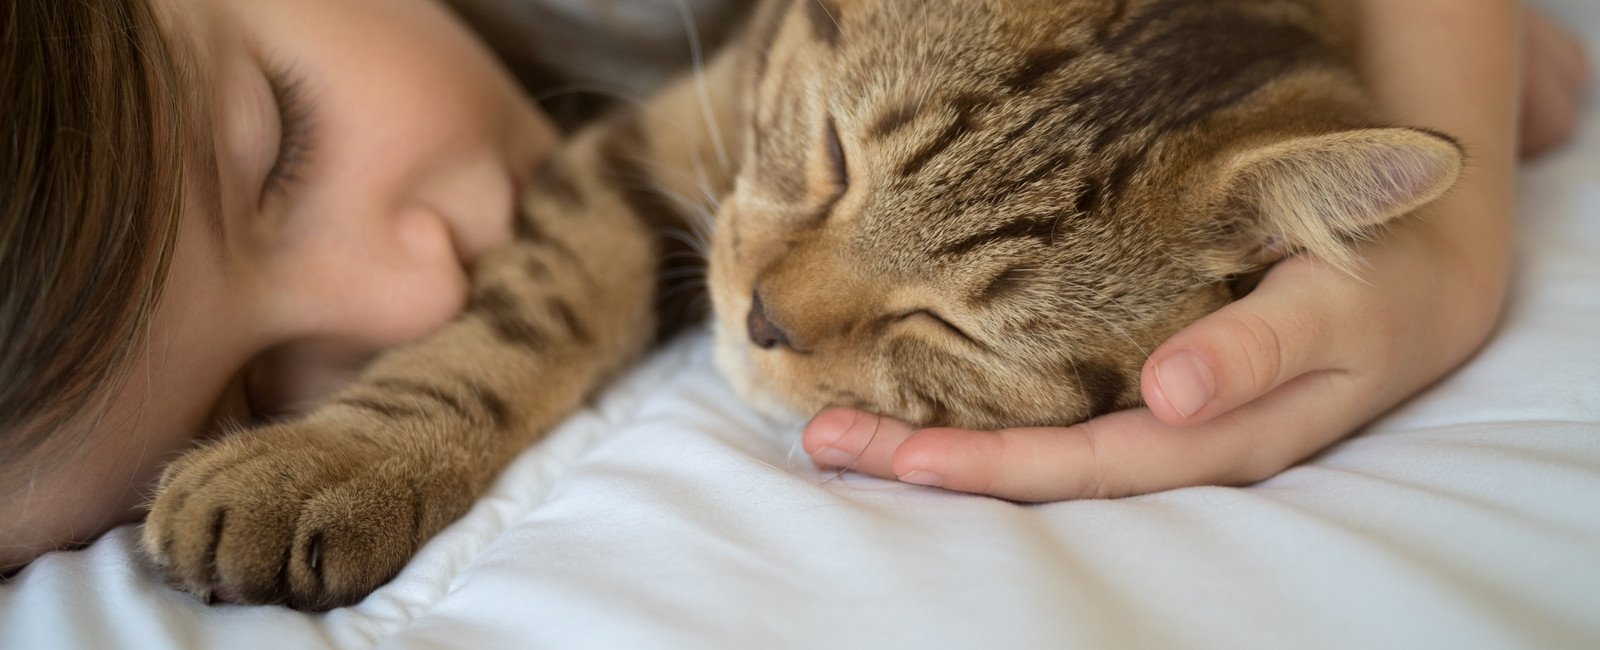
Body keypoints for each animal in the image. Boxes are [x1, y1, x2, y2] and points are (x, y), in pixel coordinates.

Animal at [140, 0, 1465, 608]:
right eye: (832, 152)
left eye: (952, 325)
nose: (763, 319)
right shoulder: (662, 137)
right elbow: (529, 315)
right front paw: (332, 460)